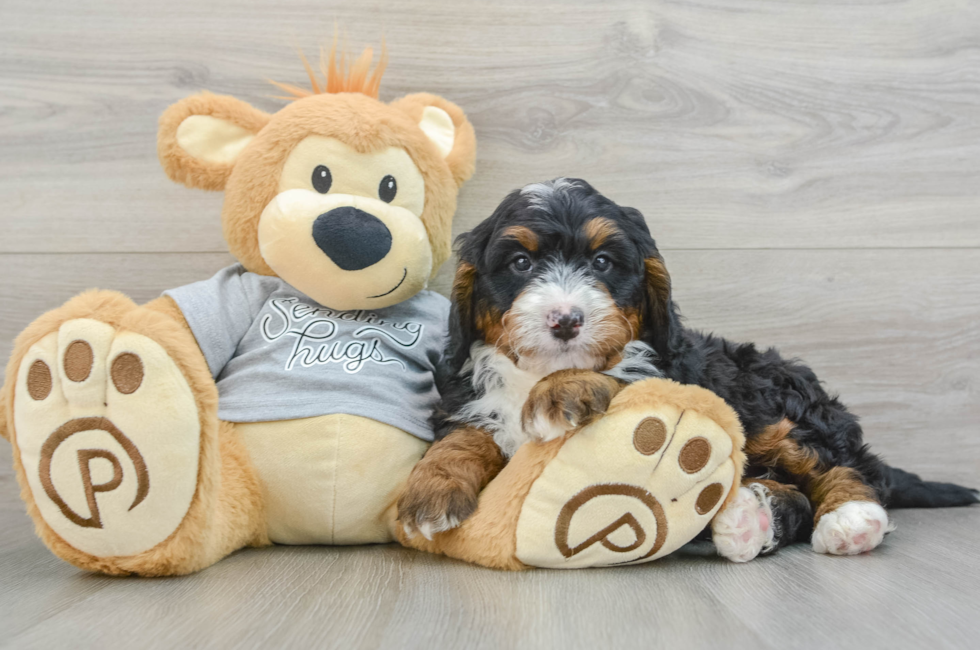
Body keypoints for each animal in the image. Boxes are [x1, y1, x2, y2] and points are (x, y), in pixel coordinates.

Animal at [396, 176, 972, 556]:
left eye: (603, 262)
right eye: (520, 264)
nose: (566, 320)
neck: (533, 371)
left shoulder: (666, 371)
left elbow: (620, 369)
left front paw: (564, 389)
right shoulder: (470, 396)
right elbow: (462, 436)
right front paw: (429, 492)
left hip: (773, 404)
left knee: (844, 463)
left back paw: (851, 518)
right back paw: (748, 519)